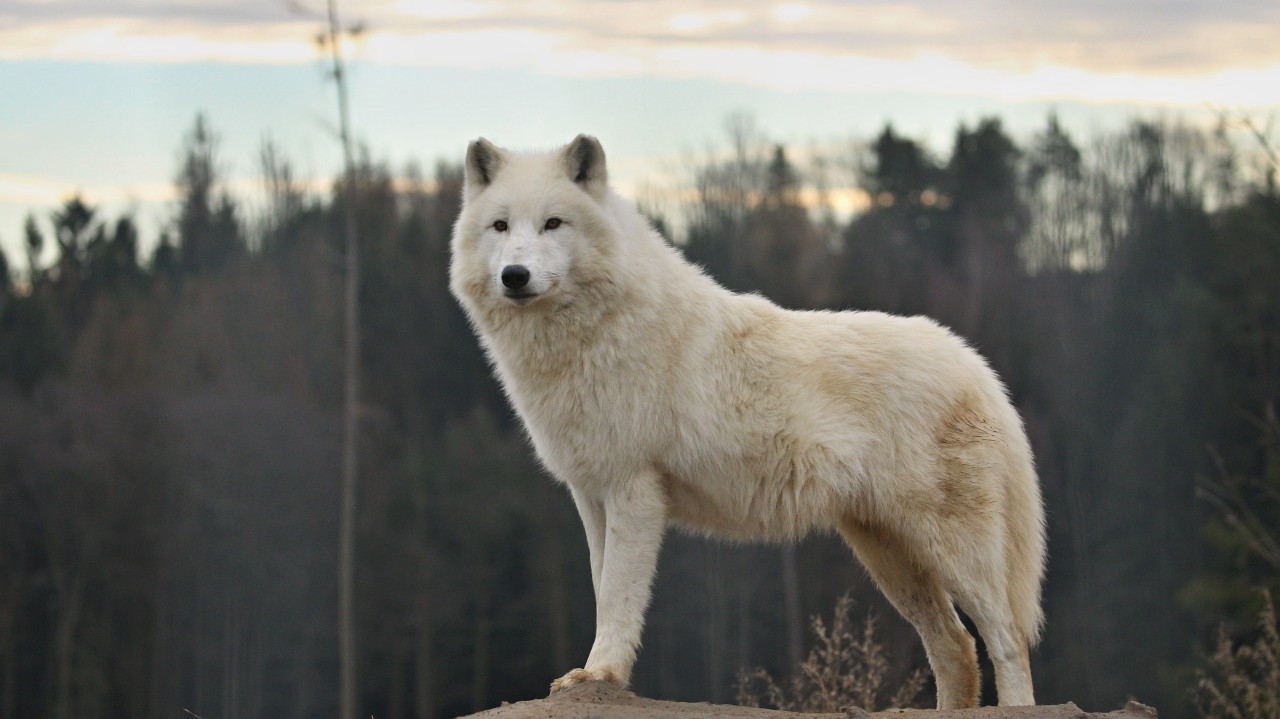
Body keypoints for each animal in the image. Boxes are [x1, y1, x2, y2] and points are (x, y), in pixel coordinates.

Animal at [449, 135, 1046, 708]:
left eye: (553, 223)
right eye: (501, 225)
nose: (515, 275)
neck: (593, 335)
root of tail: (975, 364)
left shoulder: (633, 490)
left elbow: (617, 597)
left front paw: (601, 674)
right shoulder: (591, 494)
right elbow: (602, 590)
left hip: (951, 550)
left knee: (1006, 638)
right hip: (889, 555)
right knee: (955, 644)